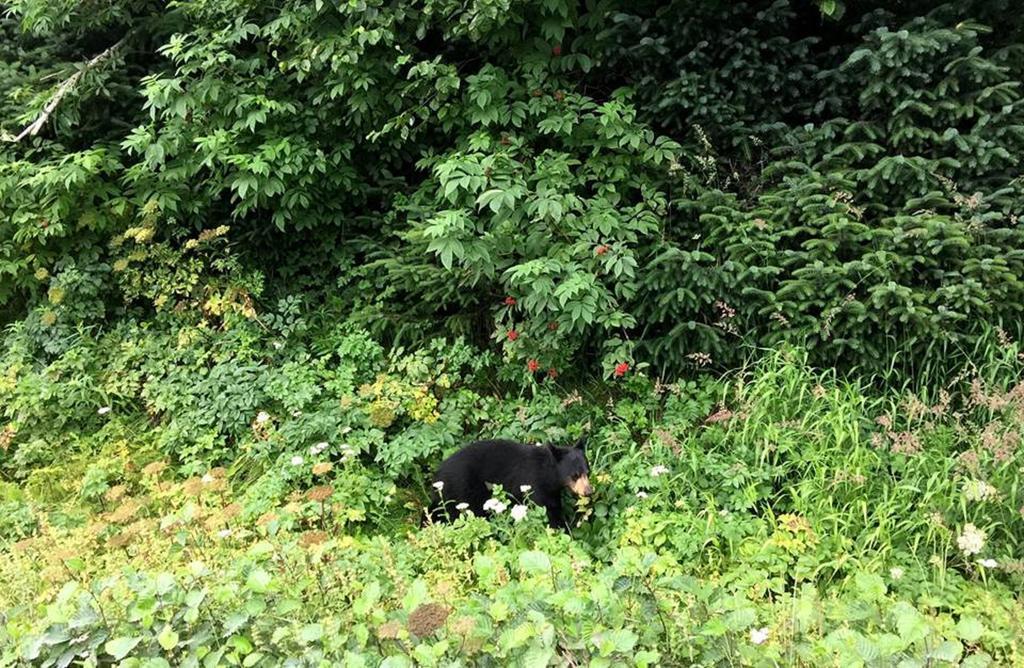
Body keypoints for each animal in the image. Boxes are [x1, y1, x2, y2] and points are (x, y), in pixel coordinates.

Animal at [430, 436, 593, 528]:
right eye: (575, 475)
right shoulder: (534, 485)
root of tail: (437, 475)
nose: (588, 491)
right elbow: (547, 511)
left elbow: (554, 506)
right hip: (462, 492)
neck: (549, 475)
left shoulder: (551, 490)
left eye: (588, 472)